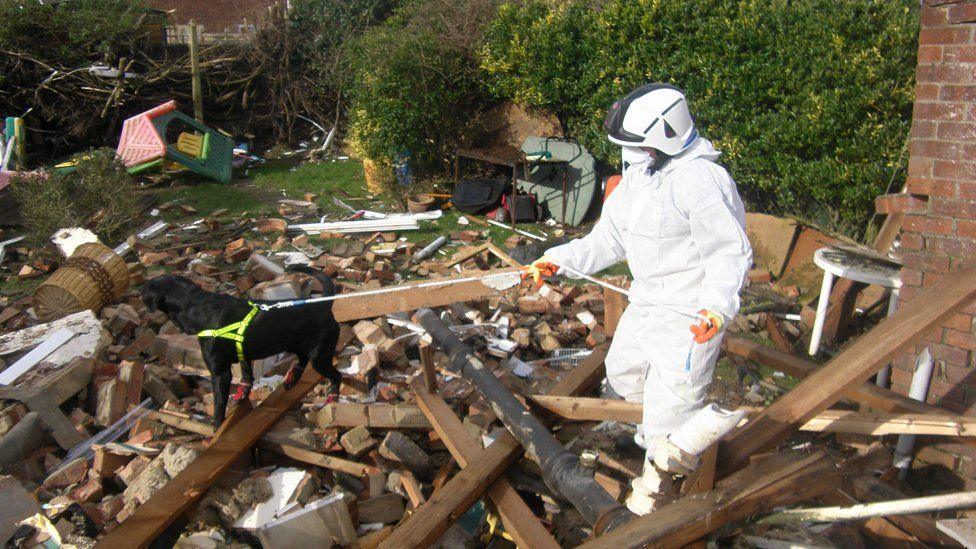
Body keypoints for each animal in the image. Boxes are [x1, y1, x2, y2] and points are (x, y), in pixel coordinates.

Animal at [143, 264, 342, 424]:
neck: (199, 307)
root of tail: (323, 305)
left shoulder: (220, 372)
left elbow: (219, 404)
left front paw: (216, 427)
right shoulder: (242, 352)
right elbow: (247, 376)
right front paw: (242, 393)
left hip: (319, 355)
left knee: (335, 375)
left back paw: (332, 397)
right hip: (296, 344)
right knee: (302, 359)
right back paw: (293, 377)